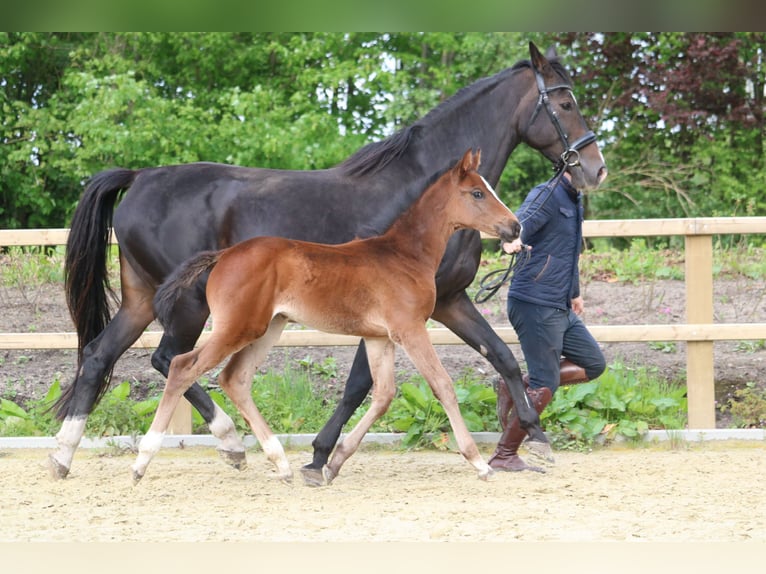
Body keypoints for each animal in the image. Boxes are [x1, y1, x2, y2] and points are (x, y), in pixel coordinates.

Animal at [135, 150, 524, 486]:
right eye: (477, 192)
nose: (515, 227)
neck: (405, 255)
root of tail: (224, 255)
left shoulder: (379, 337)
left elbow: (384, 394)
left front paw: (333, 462)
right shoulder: (409, 329)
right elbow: (442, 385)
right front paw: (478, 462)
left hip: (268, 327)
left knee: (235, 379)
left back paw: (280, 463)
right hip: (239, 327)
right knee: (182, 366)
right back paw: (143, 461)